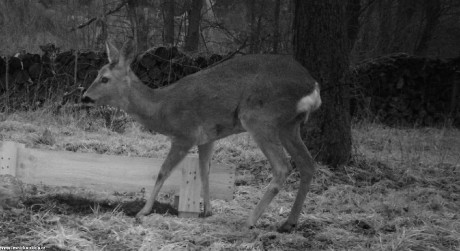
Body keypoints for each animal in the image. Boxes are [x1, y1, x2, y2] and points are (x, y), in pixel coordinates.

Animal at [82, 39, 320, 233]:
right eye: (96, 74)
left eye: (104, 78)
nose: (85, 96)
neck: (161, 109)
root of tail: (313, 87)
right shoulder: (207, 138)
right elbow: (205, 171)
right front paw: (207, 210)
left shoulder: (184, 135)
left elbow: (163, 172)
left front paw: (143, 211)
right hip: (289, 125)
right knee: (307, 164)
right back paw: (288, 223)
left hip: (259, 117)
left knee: (283, 167)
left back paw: (250, 221)